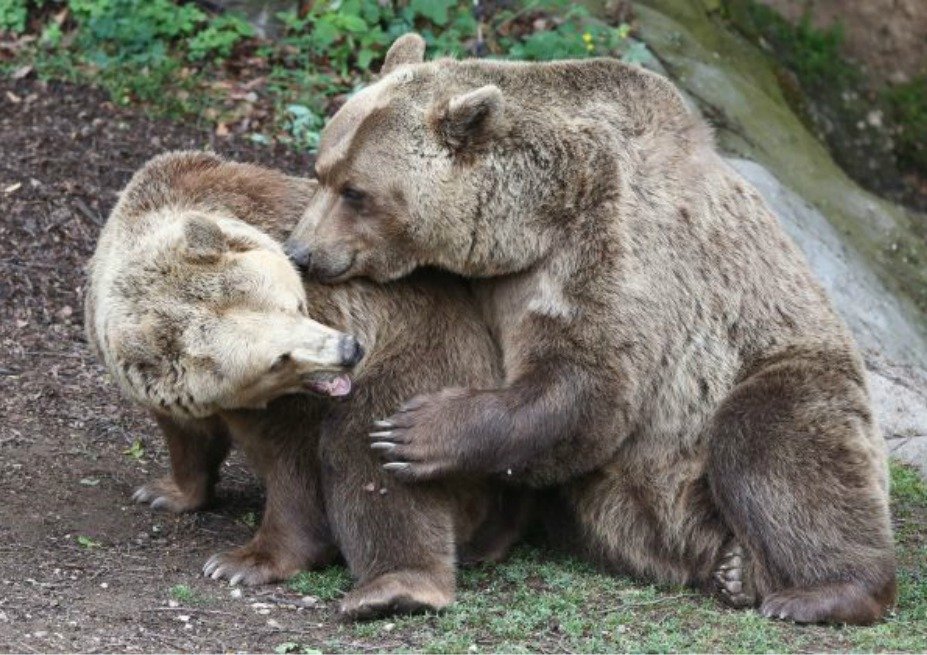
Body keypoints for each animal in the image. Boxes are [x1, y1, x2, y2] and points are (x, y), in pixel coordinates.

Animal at [88, 151, 528, 616]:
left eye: (296, 305)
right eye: (275, 361)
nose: (349, 350)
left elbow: (295, 461)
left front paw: (242, 562)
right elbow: (187, 433)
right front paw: (165, 491)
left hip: (436, 360)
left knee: (367, 448)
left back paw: (396, 587)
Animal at [288, 34, 900, 624]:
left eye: (357, 192)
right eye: (321, 172)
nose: (301, 251)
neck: (534, 220)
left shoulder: (614, 245)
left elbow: (589, 383)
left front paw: (415, 431)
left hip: (776, 364)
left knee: (775, 444)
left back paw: (825, 590)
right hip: (622, 504)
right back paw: (736, 570)